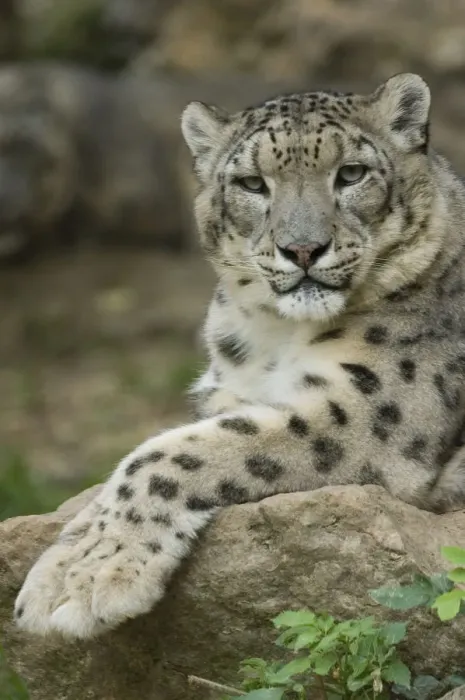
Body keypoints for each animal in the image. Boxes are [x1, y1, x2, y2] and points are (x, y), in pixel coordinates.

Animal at [14, 72, 465, 639]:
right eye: (252, 183)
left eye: (352, 174)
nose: (302, 249)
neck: (273, 333)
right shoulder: (228, 393)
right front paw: (72, 557)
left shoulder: (369, 409)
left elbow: (169, 452)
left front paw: (84, 576)